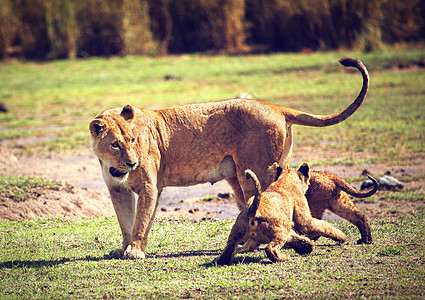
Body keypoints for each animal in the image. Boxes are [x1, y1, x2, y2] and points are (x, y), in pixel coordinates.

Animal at [89, 57, 368, 258]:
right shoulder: (117, 189)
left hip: (256, 174)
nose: (133, 162)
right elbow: (126, 221)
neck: (115, 168)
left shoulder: (150, 187)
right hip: (243, 181)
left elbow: (140, 221)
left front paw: (135, 251)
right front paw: (124, 248)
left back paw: (299, 244)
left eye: (133, 140)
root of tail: (275, 107)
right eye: (116, 144)